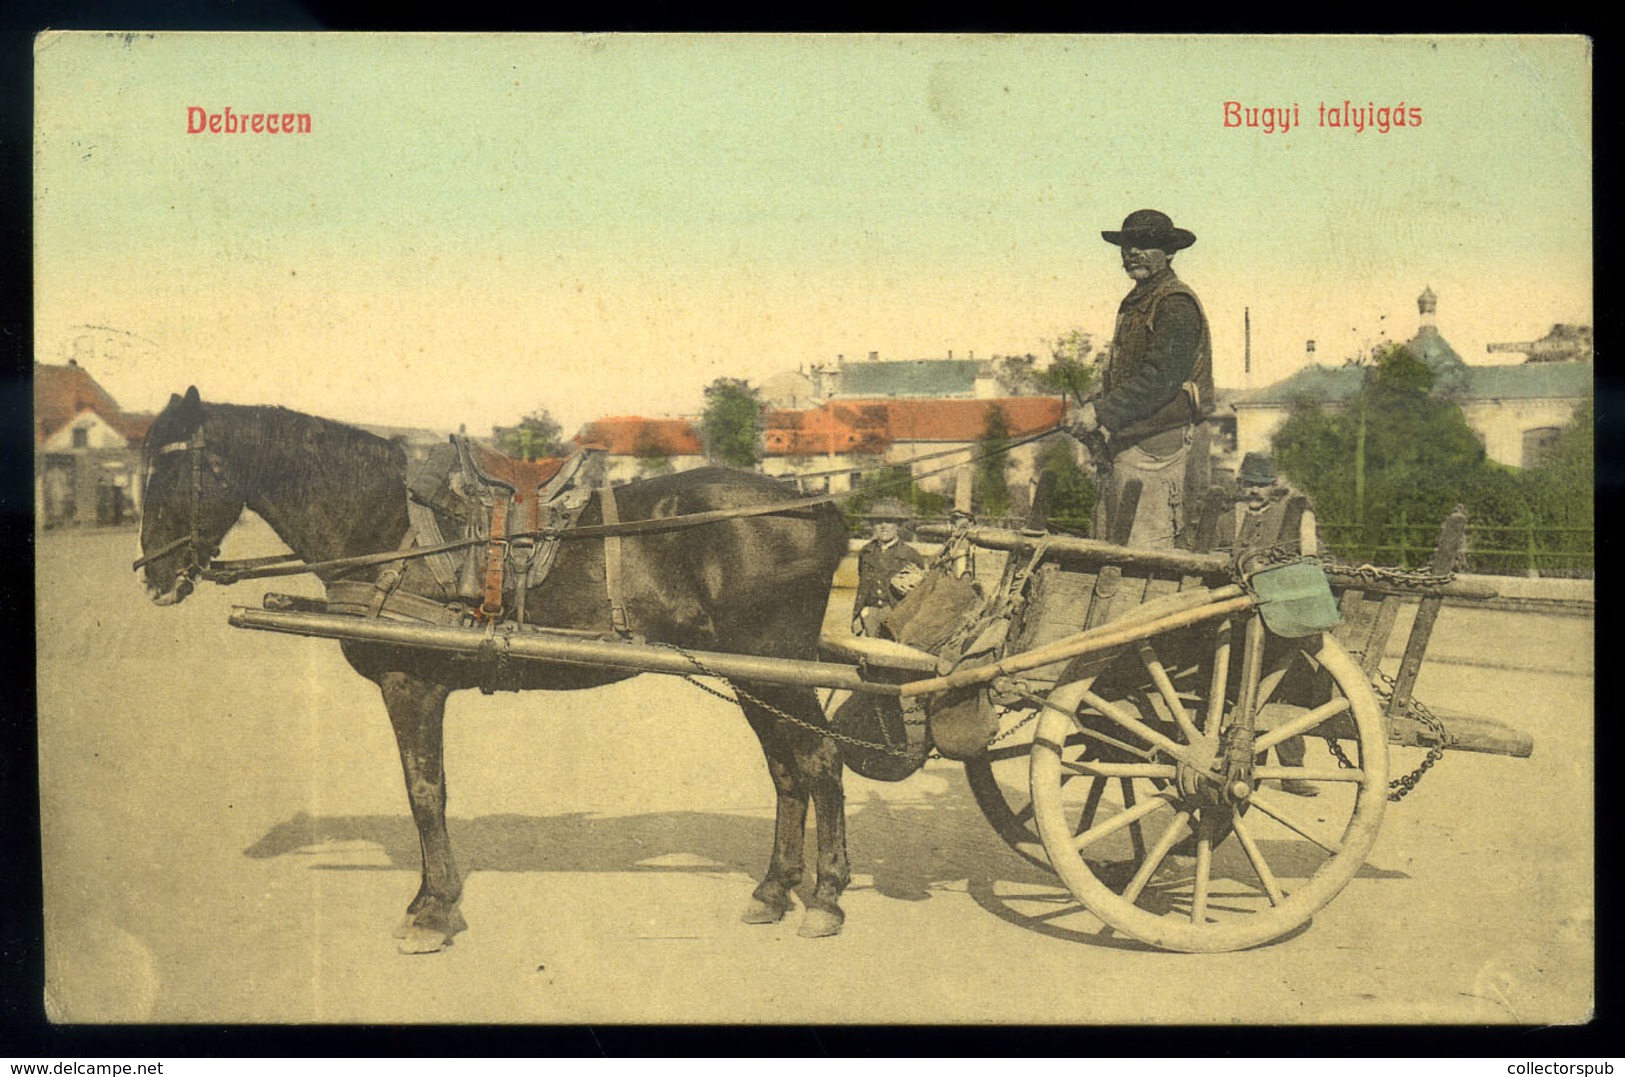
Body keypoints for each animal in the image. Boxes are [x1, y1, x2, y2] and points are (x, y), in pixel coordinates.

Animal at [143, 389, 851, 955]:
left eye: (171, 469)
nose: (152, 576)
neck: (390, 528)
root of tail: (811, 504)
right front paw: (433, 902)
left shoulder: (412, 687)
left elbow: (425, 793)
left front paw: (431, 911)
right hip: (750, 675)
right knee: (786, 770)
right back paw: (773, 890)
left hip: (776, 668)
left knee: (820, 761)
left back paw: (826, 898)